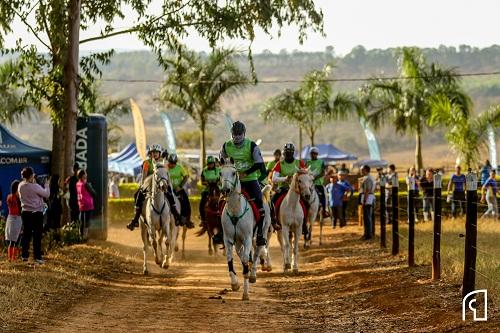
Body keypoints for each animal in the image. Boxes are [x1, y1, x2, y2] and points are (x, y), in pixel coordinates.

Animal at [220, 161, 268, 300]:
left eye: (234, 173)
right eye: (220, 173)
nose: (225, 190)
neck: (235, 210)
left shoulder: (247, 239)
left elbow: (247, 259)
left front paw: (246, 294)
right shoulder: (228, 239)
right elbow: (230, 258)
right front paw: (235, 284)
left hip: (262, 232)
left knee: (256, 252)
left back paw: (252, 275)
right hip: (238, 242)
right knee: (241, 254)